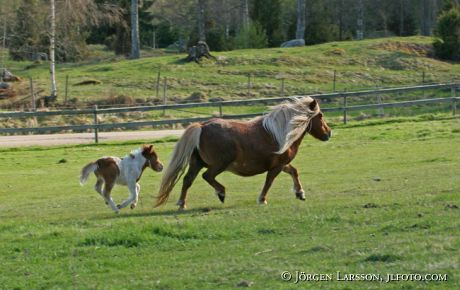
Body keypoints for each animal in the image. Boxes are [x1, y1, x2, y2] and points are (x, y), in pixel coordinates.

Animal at [155, 96, 330, 210]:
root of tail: (202, 126)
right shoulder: (277, 166)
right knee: (207, 176)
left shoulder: (281, 164)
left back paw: (182, 203)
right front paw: (262, 199)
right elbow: (269, 182)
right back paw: (221, 193)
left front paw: (300, 193)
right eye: (320, 116)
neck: (281, 133)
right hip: (219, 164)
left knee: (187, 180)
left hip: (197, 163)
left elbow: (294, 171)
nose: (328, 133)